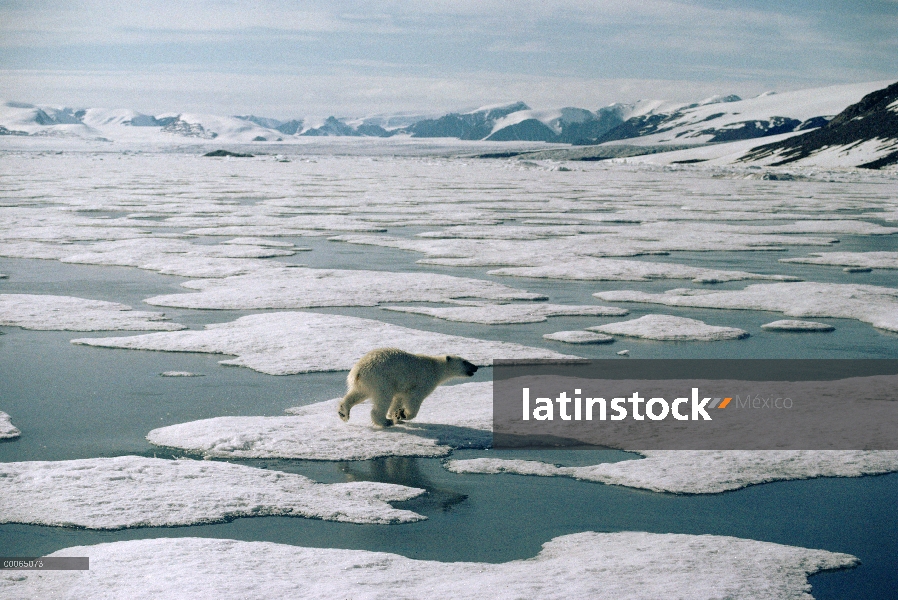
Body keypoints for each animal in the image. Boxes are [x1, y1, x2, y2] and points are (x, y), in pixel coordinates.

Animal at [336, 350, 476, 428]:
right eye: (464, 361)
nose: (475, 367)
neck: (435, 367)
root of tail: (358, 371)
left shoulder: (402, 387)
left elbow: (398, 399)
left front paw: (395, 415)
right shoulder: (423, 381)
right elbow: (414, 398)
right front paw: (402, 414)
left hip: (364, 382)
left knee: (357, 394)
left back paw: (343, 412)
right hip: (381, 379)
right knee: (383, 398)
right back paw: (385, 422)